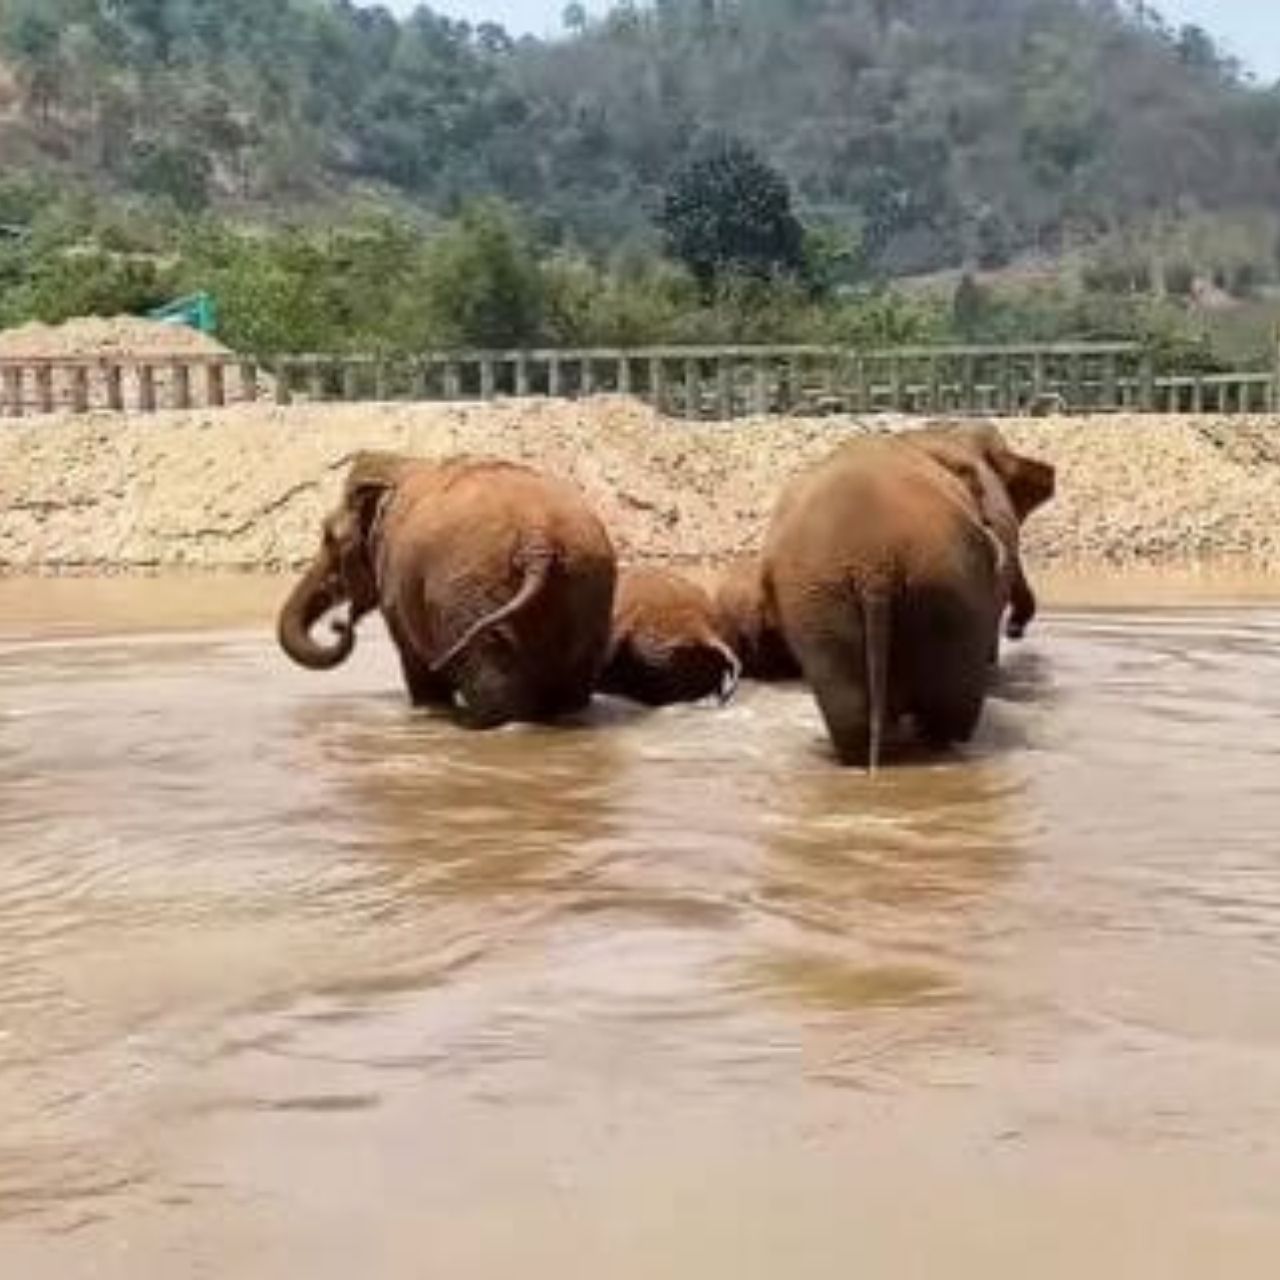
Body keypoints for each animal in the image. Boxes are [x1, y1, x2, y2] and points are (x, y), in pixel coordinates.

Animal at [277, 452, 617, 728]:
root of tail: (538, 539)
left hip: (468, 593)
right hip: (589, 581)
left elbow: (415, 661)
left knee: (496, 690)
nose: (338, 625)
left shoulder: (397, 583)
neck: (399, 464)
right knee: (572, 692)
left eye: (328, 537)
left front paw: (431, 709)